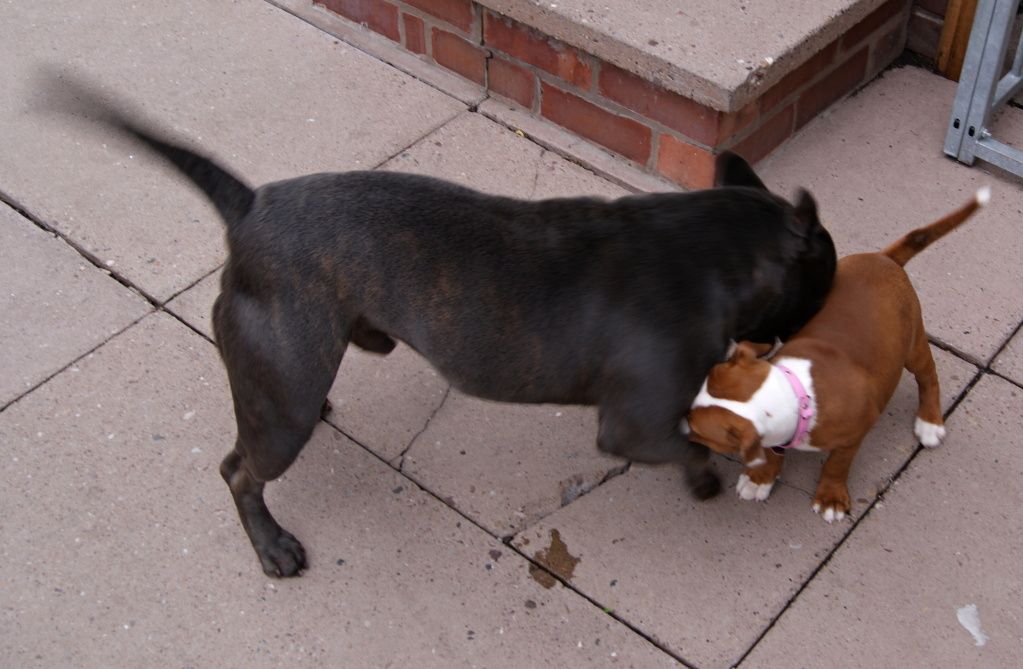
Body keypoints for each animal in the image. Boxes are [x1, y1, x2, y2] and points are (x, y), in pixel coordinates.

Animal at [43, 73, 834, 576]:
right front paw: (708, 482)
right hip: (281, 412)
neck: (709, 247)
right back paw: (271, 545)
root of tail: (250, 206)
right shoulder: (634, 426)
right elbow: (684, 446)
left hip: (292, 370)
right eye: (824, 272)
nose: (820, 312)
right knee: (239, 470)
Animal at [683, 188, 986, 523]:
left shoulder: (853, 437)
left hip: (914, 344)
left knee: (928, 376)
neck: (796, 394)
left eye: (699, 430)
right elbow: (773, 452)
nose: (678, 421)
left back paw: (929, 422)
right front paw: (761, 478)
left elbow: (837, 465)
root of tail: (885, 257)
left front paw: (830, 497)